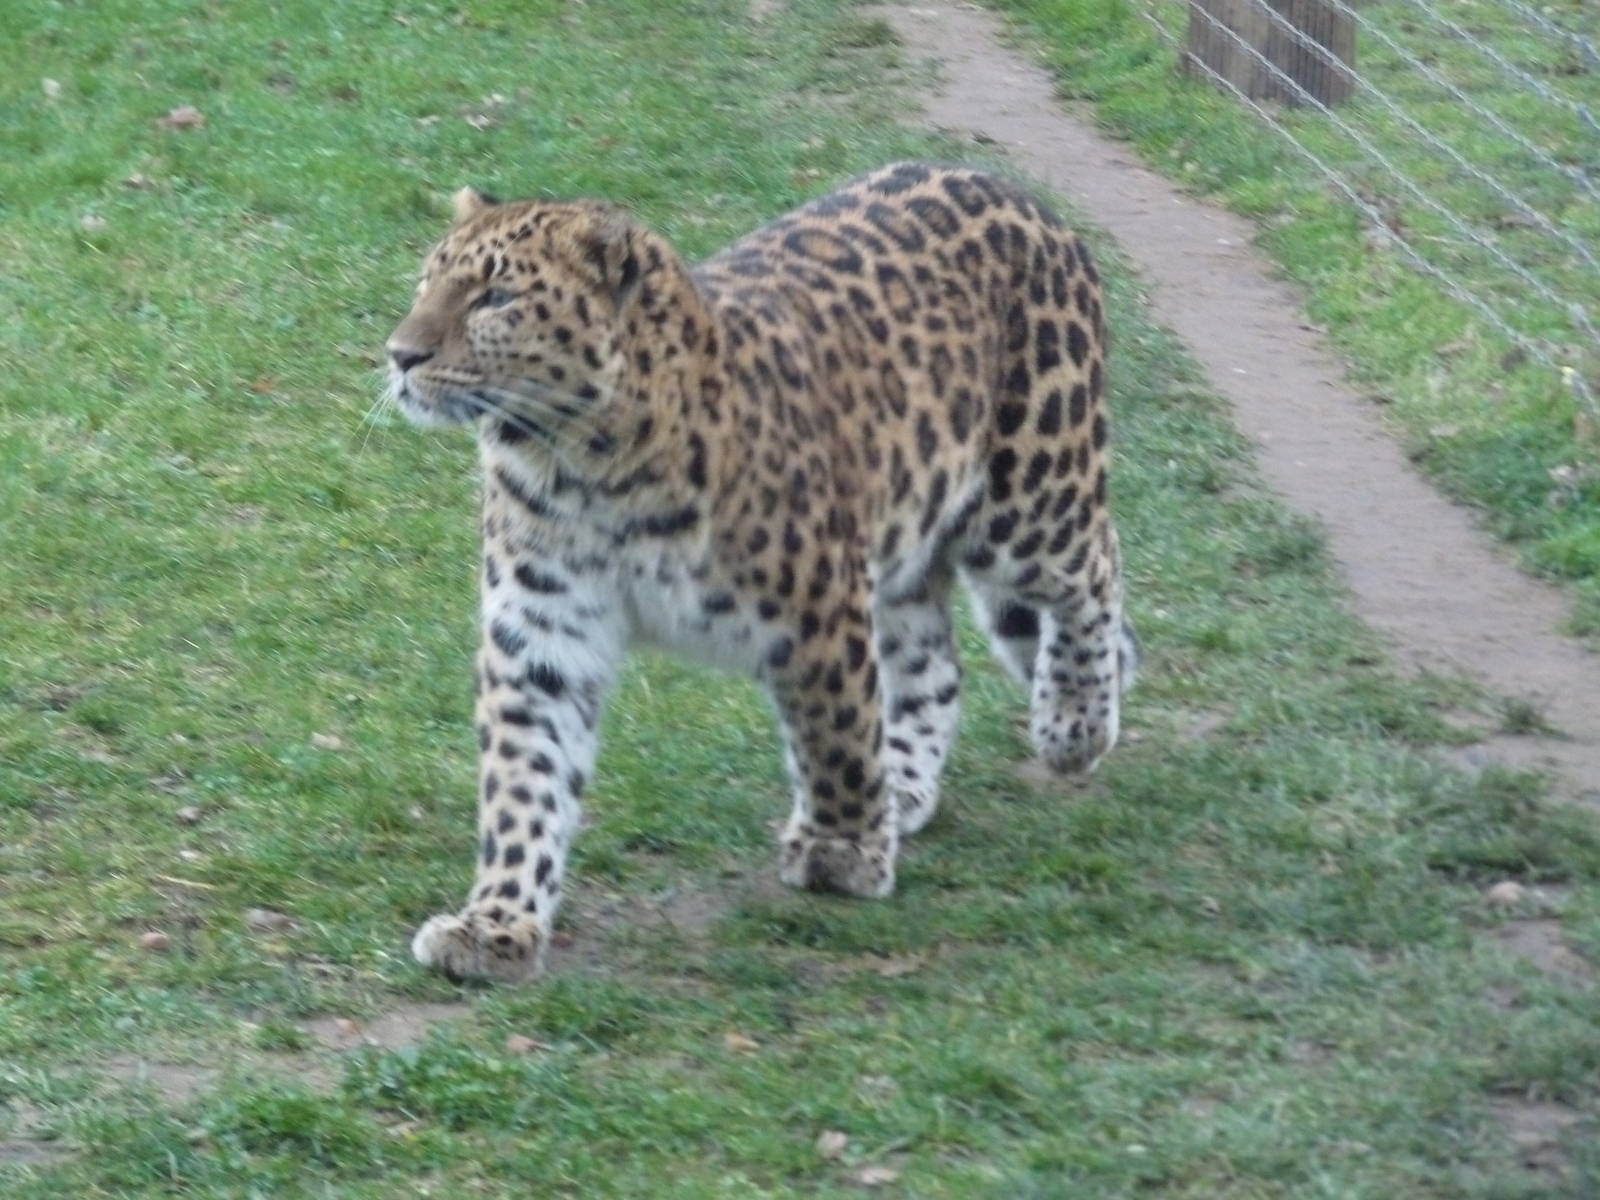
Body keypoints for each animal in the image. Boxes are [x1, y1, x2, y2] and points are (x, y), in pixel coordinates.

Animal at [384, 162, 1137, 983]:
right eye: (426, 281)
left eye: (496, 297)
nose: (398, 355)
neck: (575, 463)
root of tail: (1016, 190)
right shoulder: (543, 637)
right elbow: (523, 786)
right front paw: (496, 922)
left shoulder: (818, 607)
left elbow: (837, 733)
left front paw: (843, 850)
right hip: (907, 538)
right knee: (932, 668)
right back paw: (905, 785)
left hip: (1031, 495)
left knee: (1093, 572)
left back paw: (1075, 722)